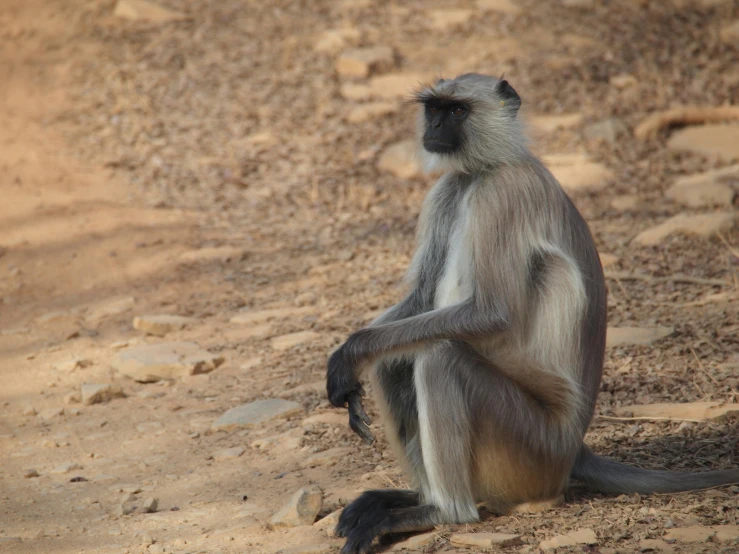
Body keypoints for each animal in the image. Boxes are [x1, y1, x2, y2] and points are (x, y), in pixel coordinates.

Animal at [326, 72, 739, 552]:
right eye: (434, 109)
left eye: (457, 111)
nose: (435, 129)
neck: (484, 170)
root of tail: (574, 447)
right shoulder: (449, 190)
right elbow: (423, 298)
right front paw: (348, 358)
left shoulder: (503, 193)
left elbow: (492, 313)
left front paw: (351, 353)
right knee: (397, 360)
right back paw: (411, 500)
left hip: (533, 446)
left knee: (439, 358)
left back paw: (442, 512)